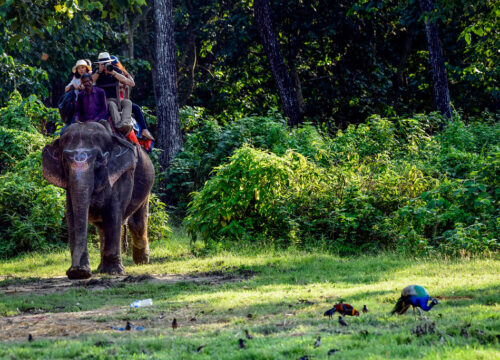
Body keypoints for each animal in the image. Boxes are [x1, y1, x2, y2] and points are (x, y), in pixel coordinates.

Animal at [42, 122, 153, 280]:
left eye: (99, 160)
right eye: (64, 161)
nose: (74, 270)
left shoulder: (119, 177)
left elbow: (113, 214)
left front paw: (114, 272)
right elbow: (72, 217)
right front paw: (80, 272)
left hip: (146, 185)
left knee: (137, 222)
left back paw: (141, 261)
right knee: (102, 227)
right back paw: (102, 268)